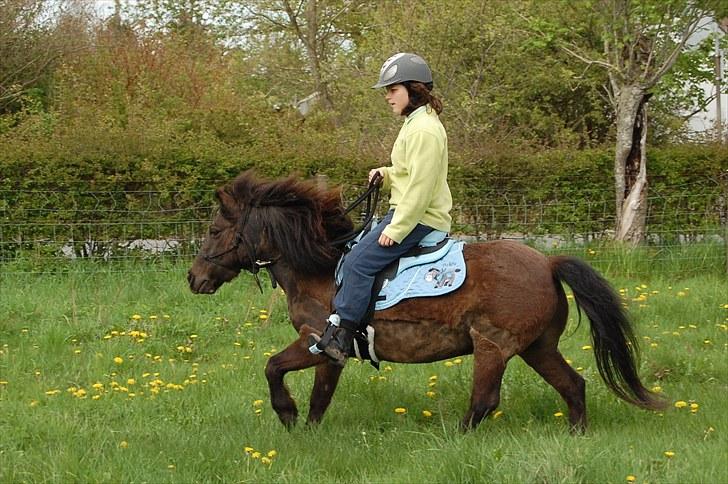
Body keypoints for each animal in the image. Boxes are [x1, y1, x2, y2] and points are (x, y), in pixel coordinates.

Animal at [186, 170, 664, 432]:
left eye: (213, 230)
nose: (194, 279)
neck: (320, 266)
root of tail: (548, 262)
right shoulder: (330, 351)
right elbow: (320, 399)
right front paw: (306, 430)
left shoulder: (314, 339)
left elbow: (273, 367)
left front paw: (285, 414)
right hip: (537, 348)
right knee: (573, 386)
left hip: (493, 346)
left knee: (485, 401)